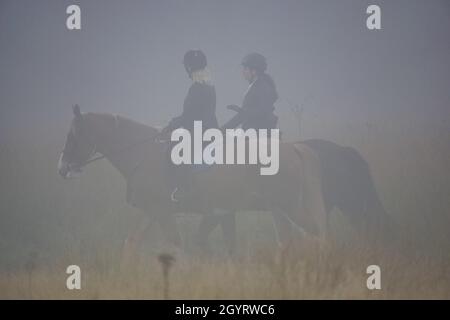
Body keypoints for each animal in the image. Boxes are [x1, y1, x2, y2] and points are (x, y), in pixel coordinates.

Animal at [59, 105, 326, 262]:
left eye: (74, 135)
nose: (61, 168)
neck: (143, 152)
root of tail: (293, 148)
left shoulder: (162, 212)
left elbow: (177, 245)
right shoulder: (151, 212)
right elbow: (131, 244)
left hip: (289, 207)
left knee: (314, 233)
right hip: (278, 209)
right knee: (289, 240)